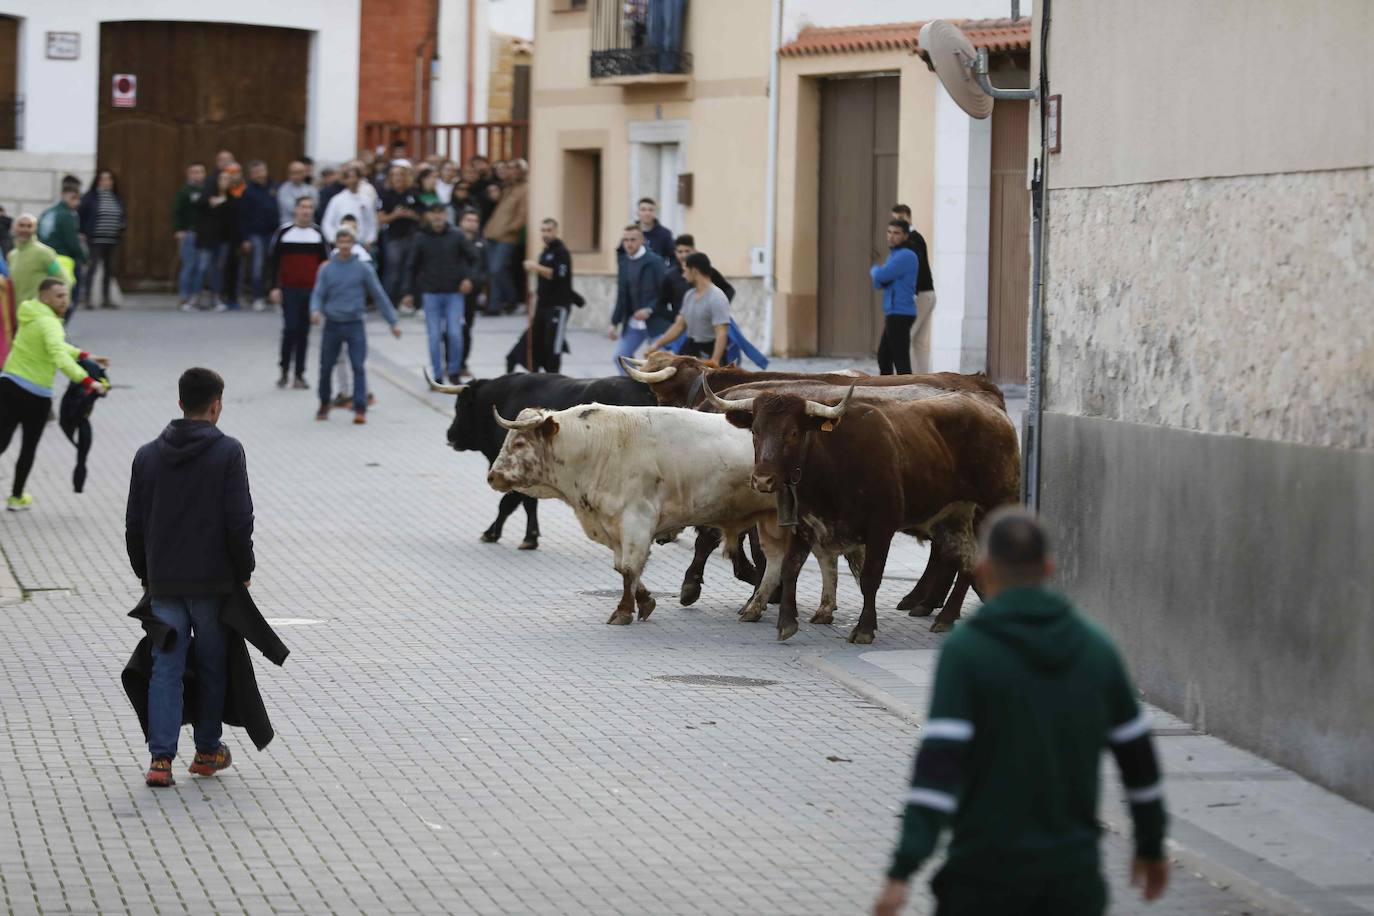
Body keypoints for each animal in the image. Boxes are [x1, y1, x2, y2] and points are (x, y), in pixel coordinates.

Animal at [708, 384, 1022, 648]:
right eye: (755, 431)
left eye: (793, 433)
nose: (762, 480)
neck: (832, 463)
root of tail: (995, 414)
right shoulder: (803, 525)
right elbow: (790, 568)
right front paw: (786, 623)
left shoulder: (881, 528)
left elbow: (870, 577)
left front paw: (864, 629)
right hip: (953, 518)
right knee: (966, 562)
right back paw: (946, 617)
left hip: (992, 509)